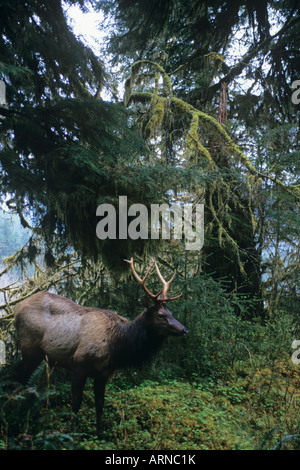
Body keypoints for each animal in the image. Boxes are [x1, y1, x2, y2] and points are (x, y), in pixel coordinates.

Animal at [15, 258, 188, 438]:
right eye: (161, 315)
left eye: (171, 313)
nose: (184, 330)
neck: (117, 347)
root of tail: (16, 308)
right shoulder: (79, 365)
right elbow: (76, 402)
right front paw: (72, 433)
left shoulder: (104, 373)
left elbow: (100, 404)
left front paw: (101, 434)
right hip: (30, 348)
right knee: (20, 376)